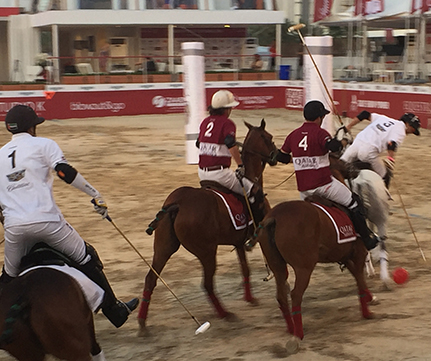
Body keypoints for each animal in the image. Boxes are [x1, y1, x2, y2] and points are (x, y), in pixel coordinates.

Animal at [138, 119, 276, 334]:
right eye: (269, 138)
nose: (279, 155)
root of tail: (177, 204)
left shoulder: (238, 242)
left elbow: (245, 269)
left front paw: (250, 298)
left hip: (163, 246)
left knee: (151, 279)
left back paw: (142, 324)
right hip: (207, 251)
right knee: (208, 284)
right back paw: (225, 314)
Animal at [255, 200, 372, 344]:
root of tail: (274, 217)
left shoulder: (344, 257)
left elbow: (357, 276)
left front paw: (369, 297)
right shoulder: (359, 254)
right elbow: (360, 279)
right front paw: (367, 311)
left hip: (278, 268)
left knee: (281, 296)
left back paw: (291, 329)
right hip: (304, 268)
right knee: (296, 294)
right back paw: (298, 334)